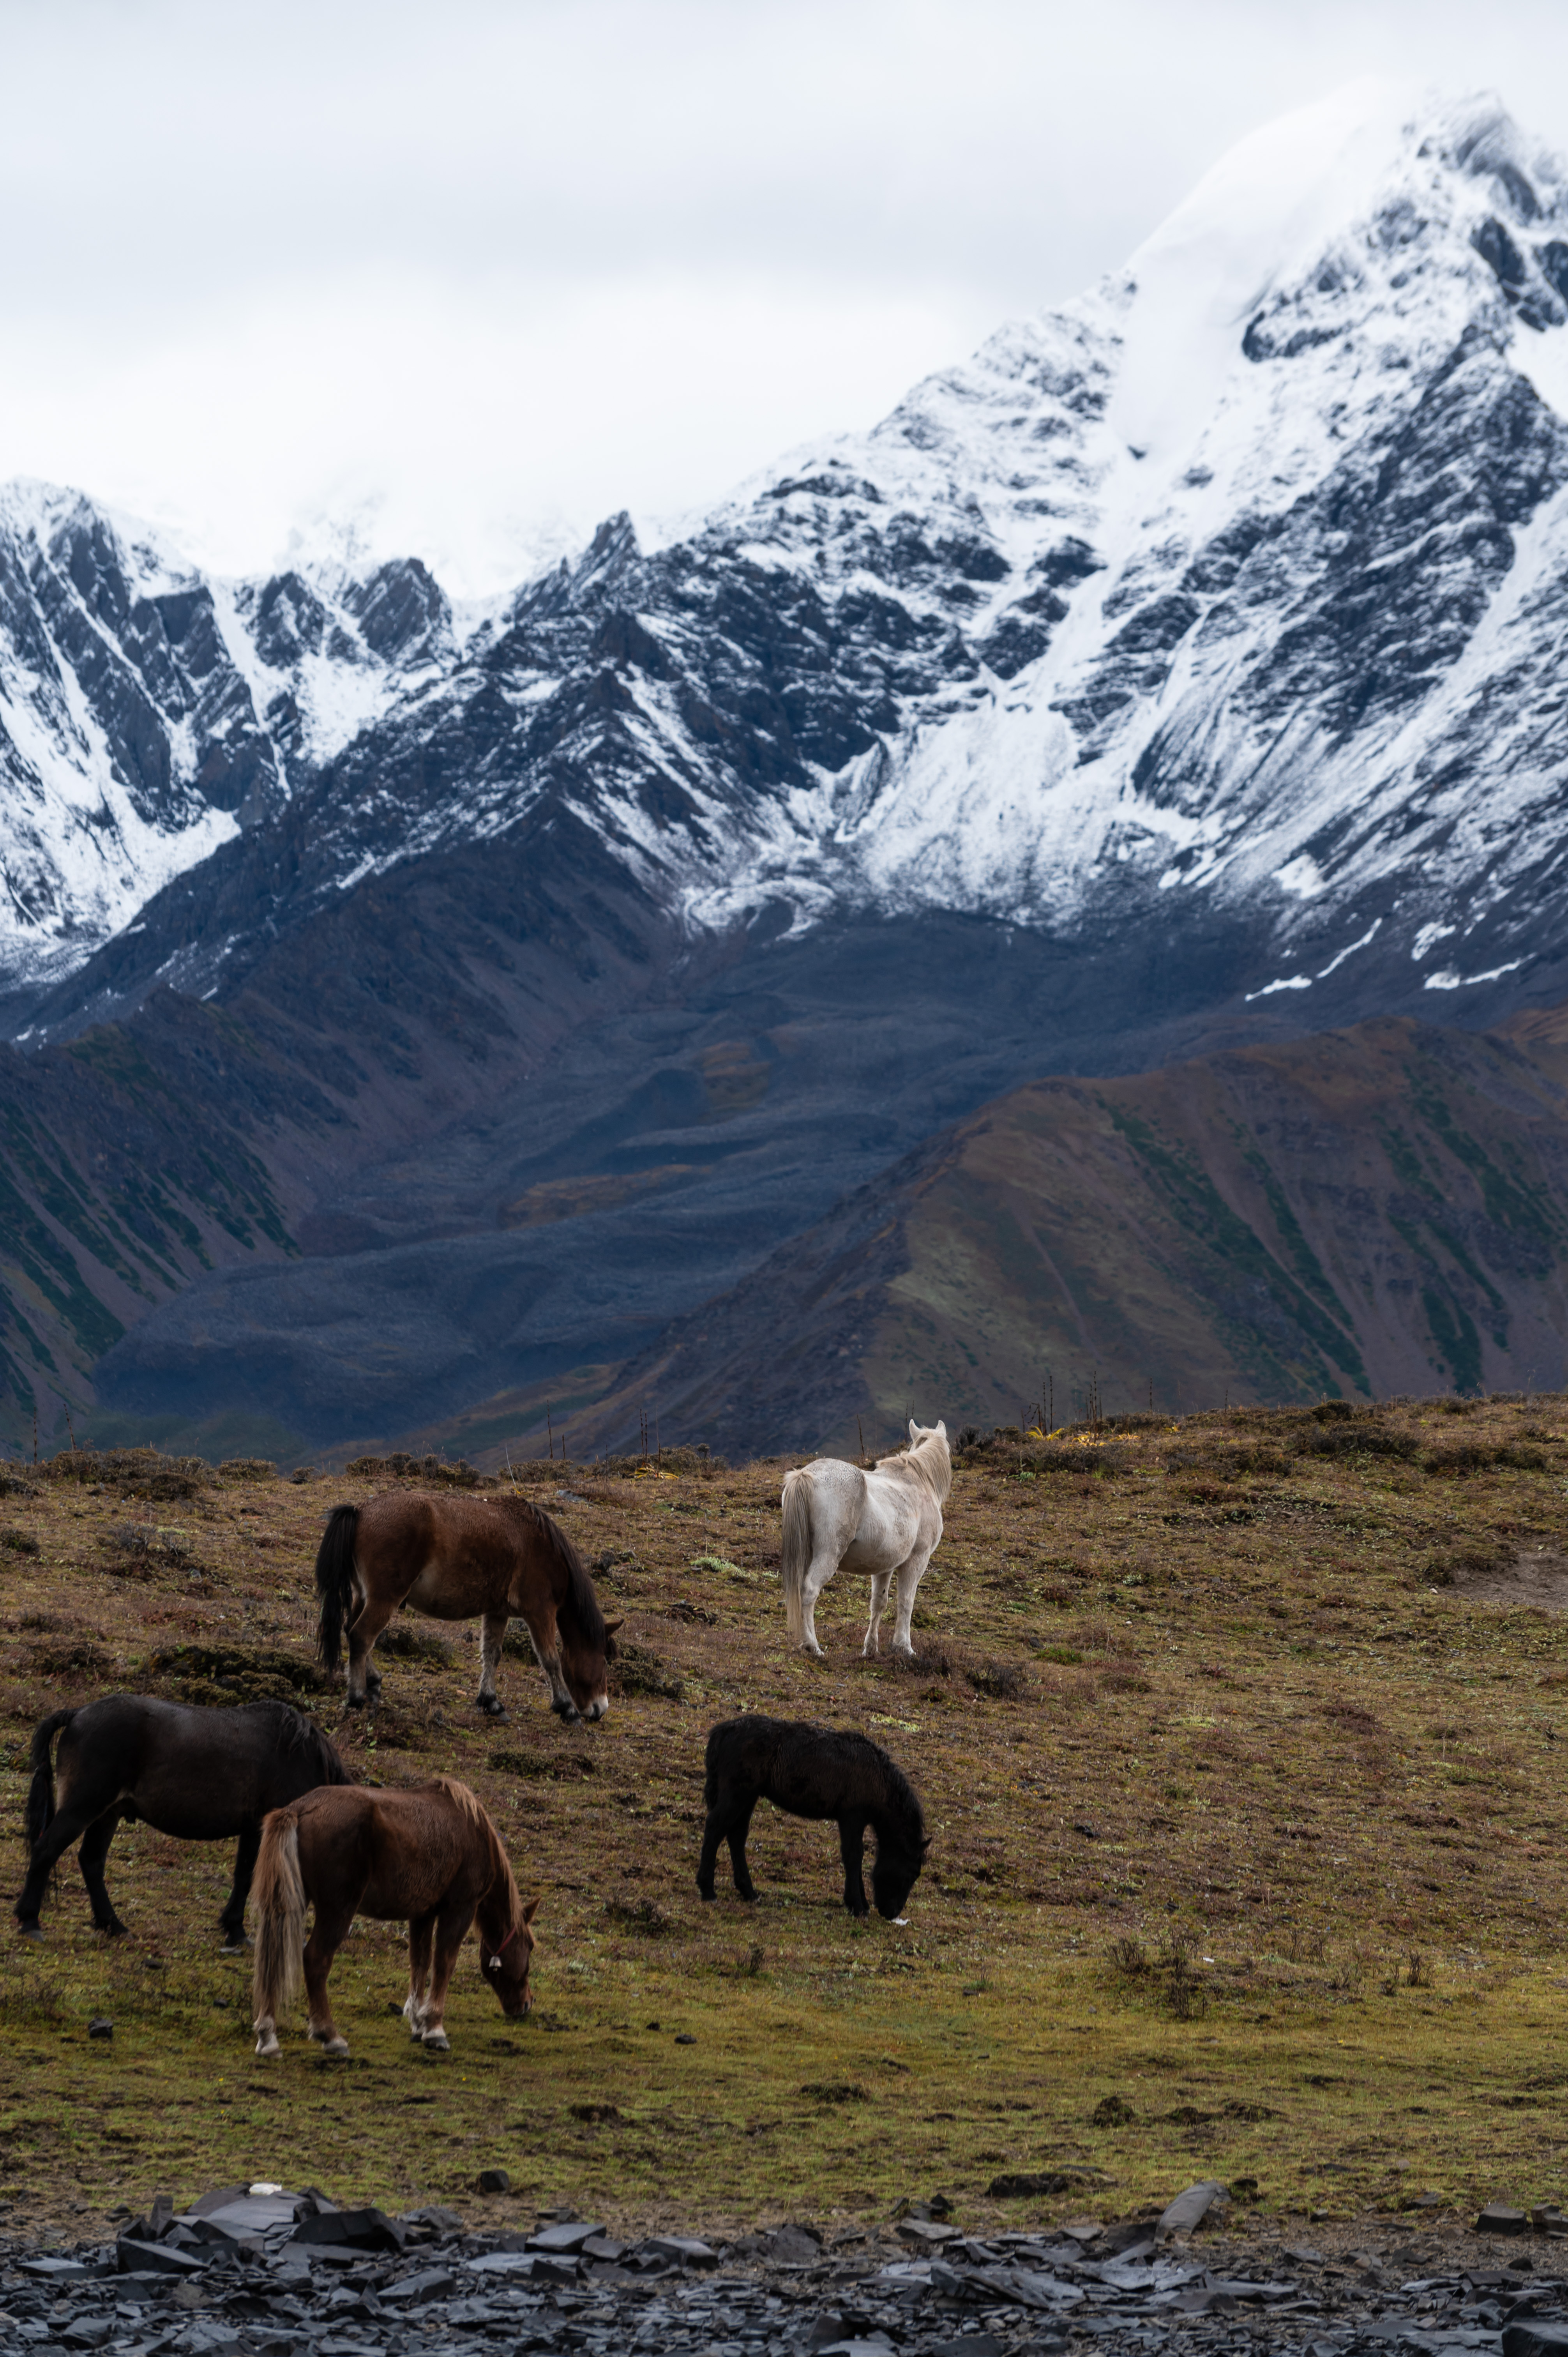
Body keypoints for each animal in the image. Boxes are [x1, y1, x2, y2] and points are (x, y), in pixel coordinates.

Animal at [16, 1697, 351, 1951]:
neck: (301, 1758)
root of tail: (78, 1714)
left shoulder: (253, 1829)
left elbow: (244, 1876)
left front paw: (234, 1929)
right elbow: (253, 1879)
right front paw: (238, 1931)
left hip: (106, 1814)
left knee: (91, 1862)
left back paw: (113, 1925)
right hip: (84, 1807)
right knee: (46, 1851)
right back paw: (30, 1921)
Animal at [247, 1772, 535, 2055]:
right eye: (530, 1946)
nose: (527, 2004)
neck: (474, 1832)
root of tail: (298, 1809)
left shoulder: (423, 1913)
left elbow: (420, 1962)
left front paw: (418, 2023)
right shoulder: (460, 1908)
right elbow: (444, 1964)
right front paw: (434, 2029)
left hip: (286, 1904)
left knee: (272, 1957)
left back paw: (268, 2037)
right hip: (337, 1910)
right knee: (316, 1960)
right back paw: (330, 2036)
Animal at [311, 1499, 618, 1725]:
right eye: (605, 1662)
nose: (600, 1709)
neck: (542, 1546)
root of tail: (361, 1511)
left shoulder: (497, 1612)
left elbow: (492, 1654)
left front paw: (491, 1702)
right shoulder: (540, 1612)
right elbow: (551, 1660)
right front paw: (566, 1708)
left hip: (364, 1596)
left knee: (352, 1632)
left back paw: (373, 1683)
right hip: (384, 1598)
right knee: (361, 1637)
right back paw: (357, 1697)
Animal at [698, 1716, 929, 1914]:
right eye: (912, 1874)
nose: (892, 1913)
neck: (876, 1777)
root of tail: (725, 1730)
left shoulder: (855, 1821)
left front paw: (860, 1903)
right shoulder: (852, 1817)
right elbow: (854, 1856)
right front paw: (857, 1906)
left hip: (749, 1797)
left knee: (737, 1835)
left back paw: (749, 1891)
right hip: (737, 1795)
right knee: (715, 1826)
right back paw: (707, 1890)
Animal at [778, 1414, 948, 1659]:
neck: (918, 1480)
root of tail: (805, 1474)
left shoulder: (885, 1567)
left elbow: (879, 1603)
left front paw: (871, 1649)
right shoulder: (917, 1560)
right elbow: (906, 1602)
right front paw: (904, 1647)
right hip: (829, 1555)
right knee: (809, 1591)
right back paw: (813, 1646)